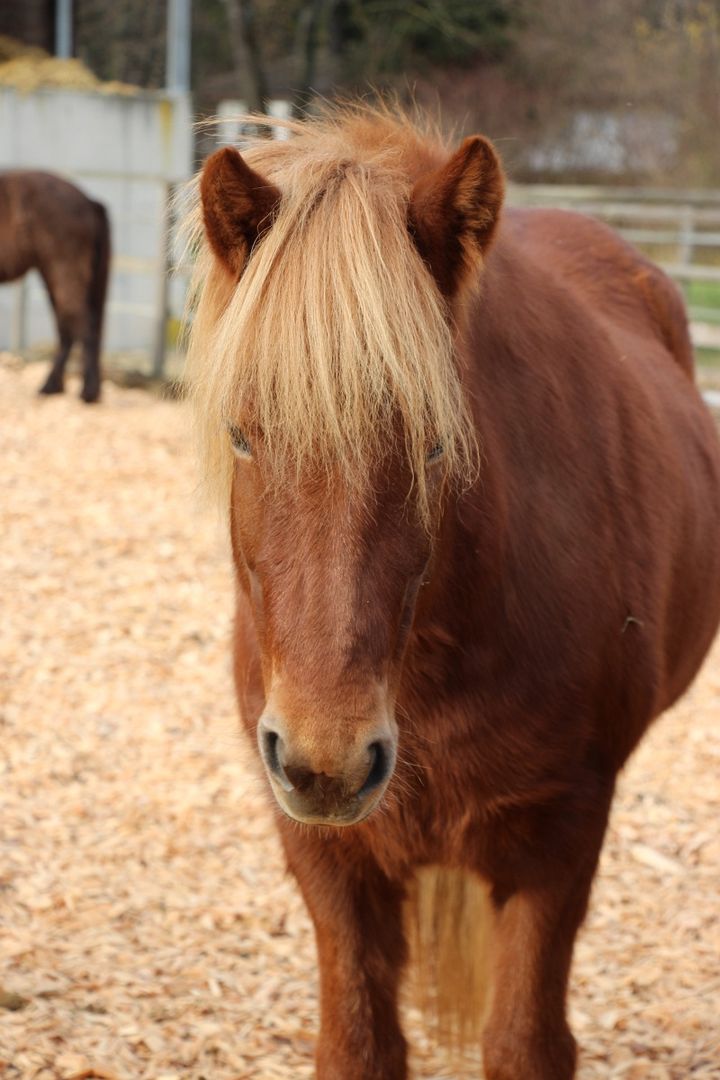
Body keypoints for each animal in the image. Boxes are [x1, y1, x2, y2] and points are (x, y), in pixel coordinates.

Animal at [0, 170, 110, 403]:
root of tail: (89, 202)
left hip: (62, 270)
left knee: (81, 325)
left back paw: (87, 392)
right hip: (53, 274)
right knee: (67, 327)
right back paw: (52, 387)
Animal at [183, 111, 720, 1080]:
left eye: (436, 443)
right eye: (242, 434)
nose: (327, 759)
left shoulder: (561, 836)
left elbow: (524, 1044)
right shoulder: (325, 855)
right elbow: (360, 1044)